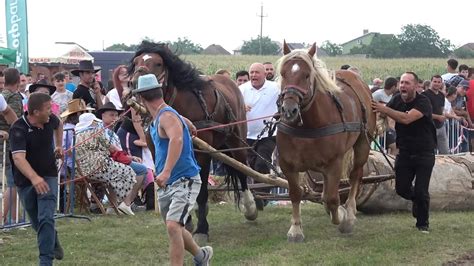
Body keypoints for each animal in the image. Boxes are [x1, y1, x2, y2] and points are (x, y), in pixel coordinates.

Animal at [128, 40, 258, 242]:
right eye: (136, 62)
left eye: (158, 63)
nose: (136, 82)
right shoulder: (158, 152)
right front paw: (187, 220)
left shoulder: (202, 154)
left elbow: (203, 191)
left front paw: (202, 229)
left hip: (236, 142)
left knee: (241, 169)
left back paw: (250, 208)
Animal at [278, 41, 374, 241]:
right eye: (283, 73)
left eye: (306, 75)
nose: (289, 110)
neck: (308, 125)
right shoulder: (287, 164)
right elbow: (296, 193)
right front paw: (296, 229)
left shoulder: (335, 162)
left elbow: (332, 198)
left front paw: (342, 218)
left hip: (363, 143)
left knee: (355, 175)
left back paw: (350, 213)